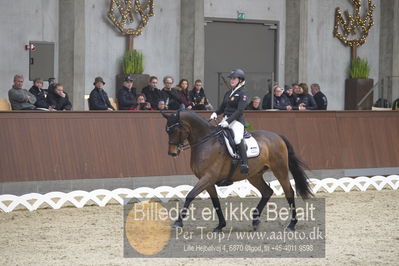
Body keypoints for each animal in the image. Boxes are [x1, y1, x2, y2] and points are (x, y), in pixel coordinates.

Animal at [161, 109, 314, 232]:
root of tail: (277, 136)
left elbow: (190, 195)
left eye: (174, 130)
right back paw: (255, 221)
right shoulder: (207, 181)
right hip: (254, 175)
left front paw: (178, 222)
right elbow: (215, 203)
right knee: (267, 191)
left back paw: (291, 225)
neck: (206, 142)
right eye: (167, 130)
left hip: (280, 170)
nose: (172, 153)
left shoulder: (208, 177)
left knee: (289, 192)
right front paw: (220, 226)